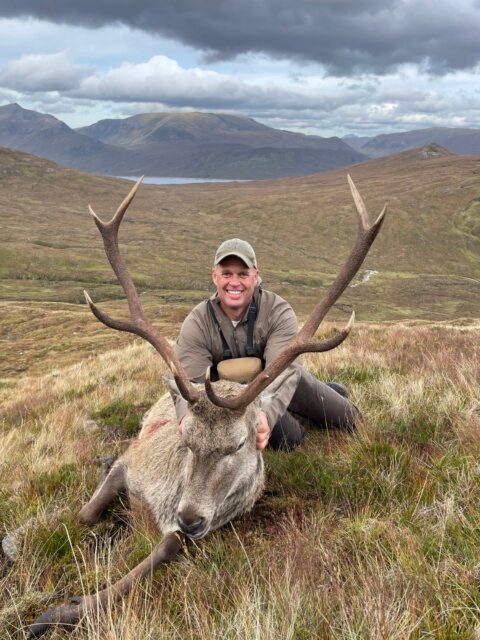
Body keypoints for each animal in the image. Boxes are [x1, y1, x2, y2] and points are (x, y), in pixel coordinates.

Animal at [28, 176, 386, 637]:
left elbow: (160, 552)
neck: (162, 500)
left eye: (239, 445)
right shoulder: (132, 462)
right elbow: (84, 515)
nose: (191, 518)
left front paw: (62, 610)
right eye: (188, 441)